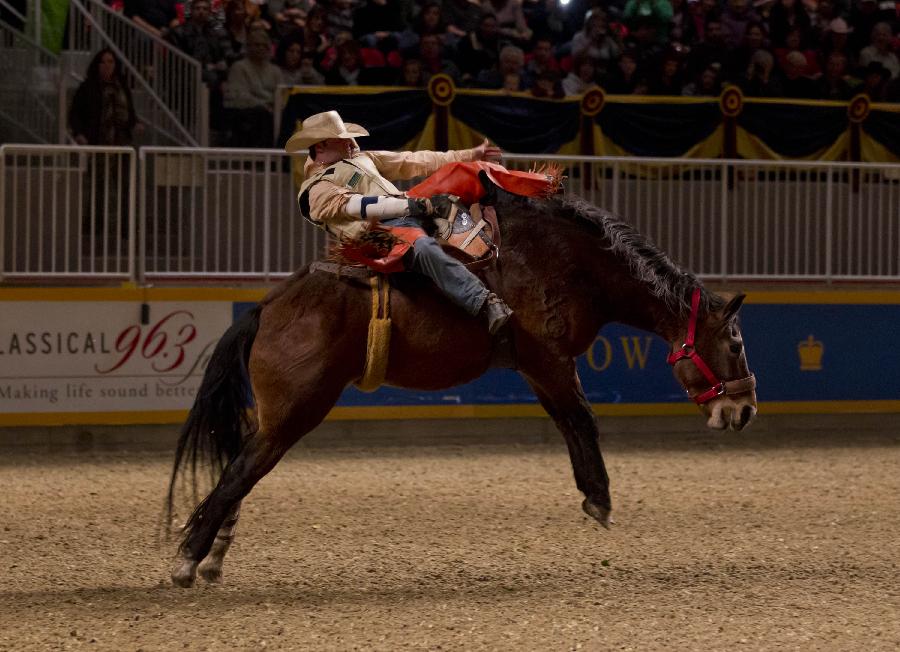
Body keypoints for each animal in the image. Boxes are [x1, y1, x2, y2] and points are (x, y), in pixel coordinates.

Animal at [165, 172, 756, 584]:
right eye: (735, 343)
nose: (745, 408)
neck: (565, 261)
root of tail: (267, 307)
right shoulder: (551, 360)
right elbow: (582, 419)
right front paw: (601, 499)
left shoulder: (537, 367)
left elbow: (569, 423)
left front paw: (593, 496)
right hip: (294, 413)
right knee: (239, 473)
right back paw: (188, 560)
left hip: (277, 418)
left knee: (238, 468)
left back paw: (212, 556)